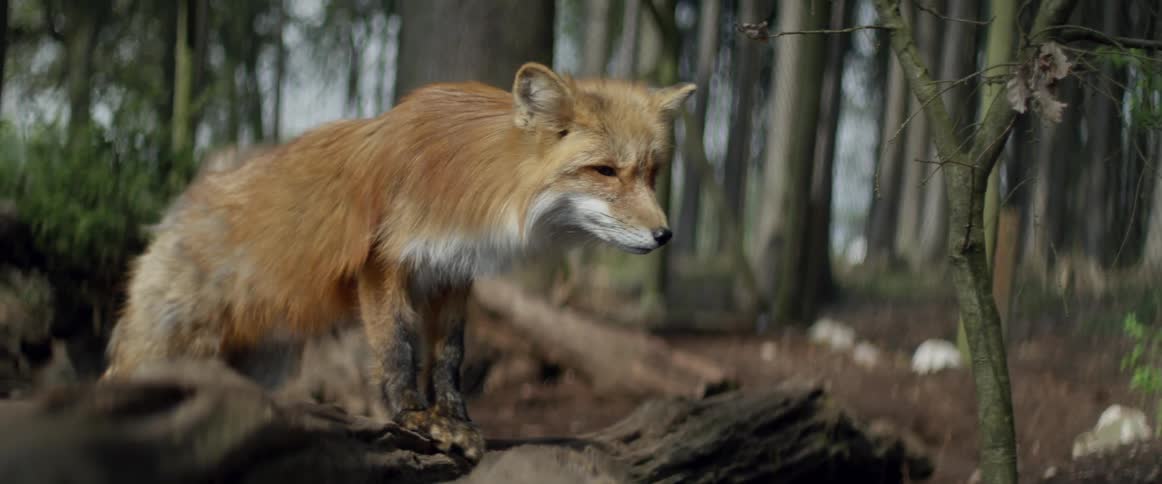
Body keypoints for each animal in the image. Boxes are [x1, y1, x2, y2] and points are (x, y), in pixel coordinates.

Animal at [102, 62, 695, 462]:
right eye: (604, 171)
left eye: (652, 173)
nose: (665, 234)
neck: (468, 184)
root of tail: (175, 209)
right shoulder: (384, 264)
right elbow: (399, 350)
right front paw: (415, 418)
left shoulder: (453, 272)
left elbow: (450, 357)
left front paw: (455, 419)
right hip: (166, 352)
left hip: (264, 367)